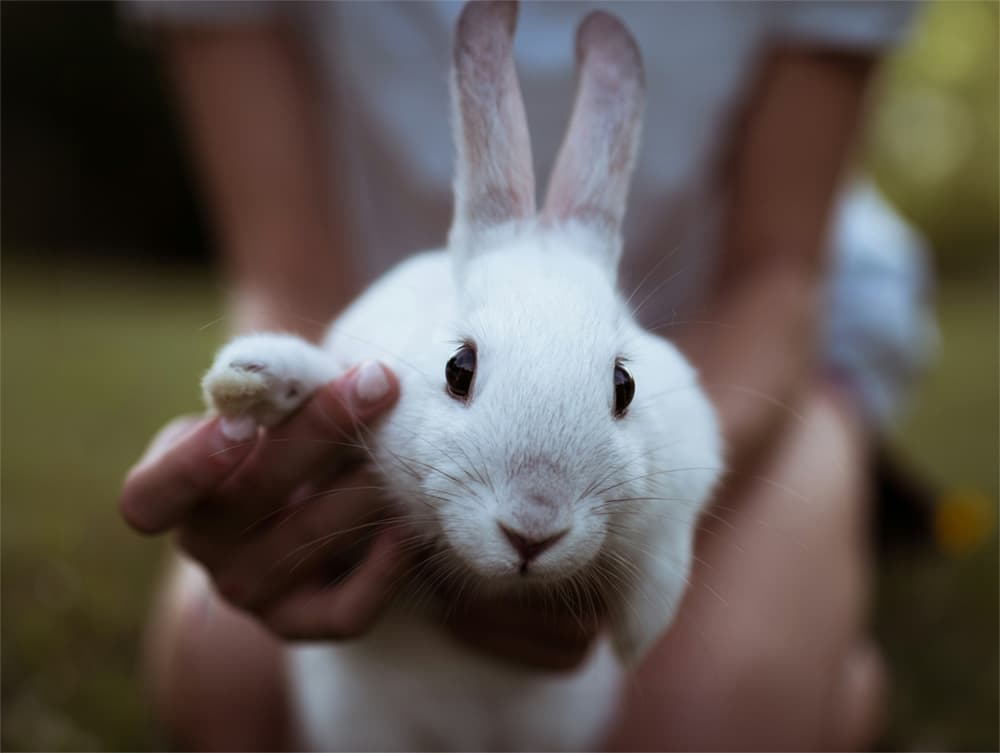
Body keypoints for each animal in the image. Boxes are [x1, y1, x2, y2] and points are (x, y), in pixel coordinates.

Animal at [199, 2, 722, 750]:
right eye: (458, 368)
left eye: (623, 386)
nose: (532, 528)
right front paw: (253, 379)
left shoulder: (691, 455)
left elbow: (665, 544)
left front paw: (639, 631)